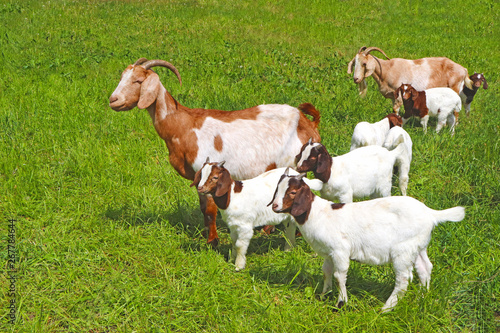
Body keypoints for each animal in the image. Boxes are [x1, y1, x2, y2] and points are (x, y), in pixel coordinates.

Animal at [109, 57, 320, 246]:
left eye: (138, 81)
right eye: (122, 77)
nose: (113, 100)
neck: (182, 125)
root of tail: (308, 123)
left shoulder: (208, 171)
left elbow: (210, 210)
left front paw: (213, 242)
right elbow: (204, 209)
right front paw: (205, 236)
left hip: (294, 165)